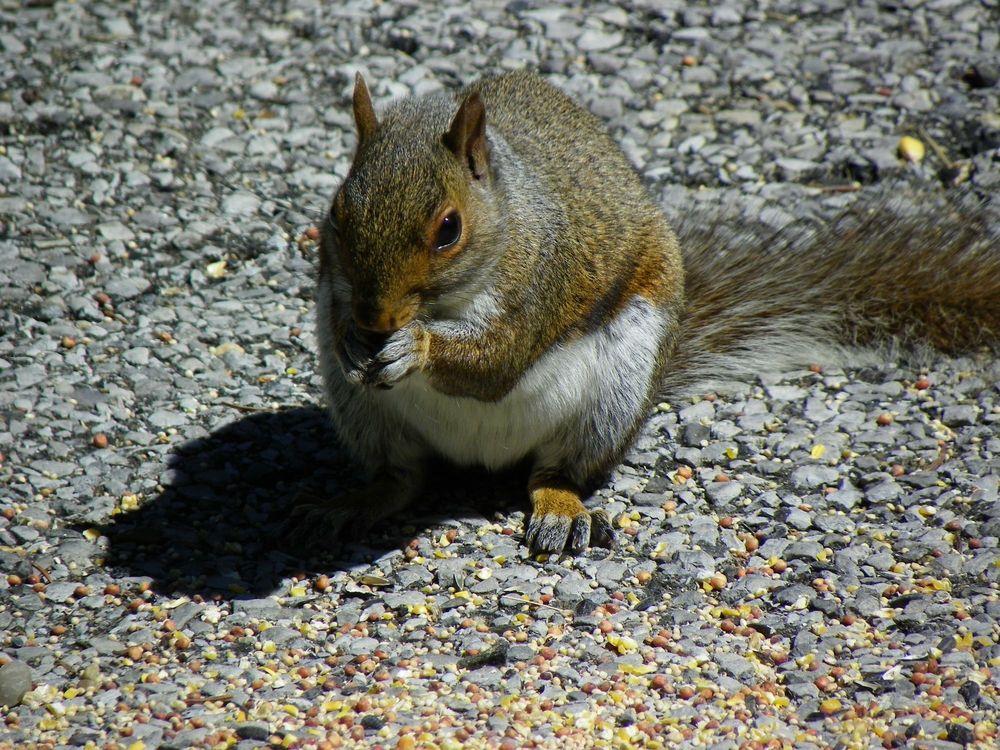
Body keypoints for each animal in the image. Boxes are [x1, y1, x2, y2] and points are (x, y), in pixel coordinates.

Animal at [300, 69, 1000, 556]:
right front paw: (351, 337)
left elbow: (496, 359)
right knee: (404, 476)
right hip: (363, 413)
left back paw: (559, 509)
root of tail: (479, 459)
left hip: (615, 392)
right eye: (337, 208)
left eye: (449, 229)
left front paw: (414, 347)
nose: (375, 319)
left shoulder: (541, 280)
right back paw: (355, 500)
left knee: (557, 470)